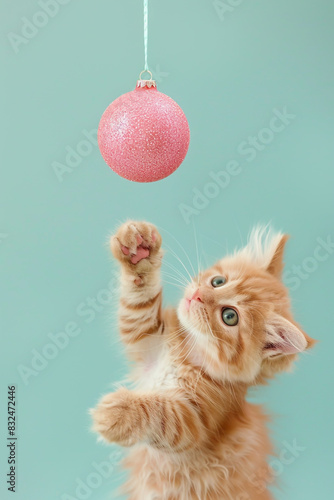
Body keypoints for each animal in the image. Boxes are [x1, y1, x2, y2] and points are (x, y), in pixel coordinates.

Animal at [90, 222, 314, 500]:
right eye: (218, 281)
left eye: (229, 316)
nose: (197, 295)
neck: (188, 353)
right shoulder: (148, 340)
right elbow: (139, 304)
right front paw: (139, 250)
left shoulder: (198, 420)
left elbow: (160, 413)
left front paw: (119, 412)